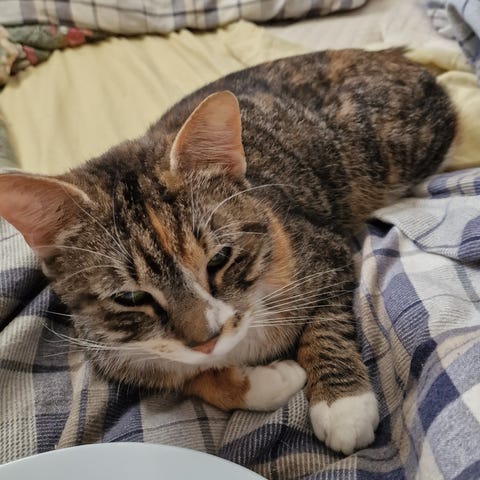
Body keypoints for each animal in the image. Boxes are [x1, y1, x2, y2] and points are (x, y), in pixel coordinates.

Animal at [0, 49, 456, 455]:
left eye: (219, 259)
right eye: (130, 297)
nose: (207, 339)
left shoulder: (323, 251)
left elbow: (326, 319)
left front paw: (343, 405)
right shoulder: (115, 353)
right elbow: (185, 377)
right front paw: (270, 381)